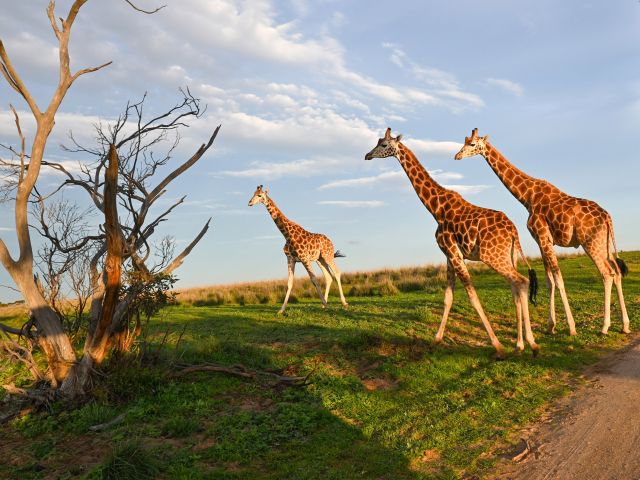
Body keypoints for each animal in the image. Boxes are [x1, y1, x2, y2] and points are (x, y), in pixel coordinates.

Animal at [248, 185, 348, 314]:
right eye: (253, 193)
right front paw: (281, 310)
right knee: (328, 277)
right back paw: (323, 304)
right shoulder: (290, 259)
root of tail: (331, 242)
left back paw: (344, 303)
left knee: (336, 272)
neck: (286, 234)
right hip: (319, 259)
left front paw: (327, 306)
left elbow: (314, 280)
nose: (250, 203)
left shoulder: (304, 258)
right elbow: (289, 283)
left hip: (327, 256)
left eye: (260, 195)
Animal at [365, 128, 539, 358]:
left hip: (491, 256)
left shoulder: (452, 251)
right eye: (377, 142)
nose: (367, 155)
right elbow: (448, 297)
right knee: (515, 286)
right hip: (509, 256)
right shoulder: (450, 254)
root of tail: (513, 232)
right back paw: (520, 344)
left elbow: (472, 296)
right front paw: (435, 341)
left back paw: (532, 344)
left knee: (521, 281)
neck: (436, 208)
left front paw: (498, 346)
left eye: (384, 145)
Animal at [454, 128, 629, 335]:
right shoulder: (541, 240)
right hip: (605, 242)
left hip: (590, 242)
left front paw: (571, 328)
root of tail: (607, 217)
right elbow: (549, 281)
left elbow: (558, 279)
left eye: (472, 144)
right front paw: (551, 325)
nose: (457, 156)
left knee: (606, 274)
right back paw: (625, 325)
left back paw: (604, 327)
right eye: (464, 141)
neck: (527, 197)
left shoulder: (543, 236)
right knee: (616, 271)